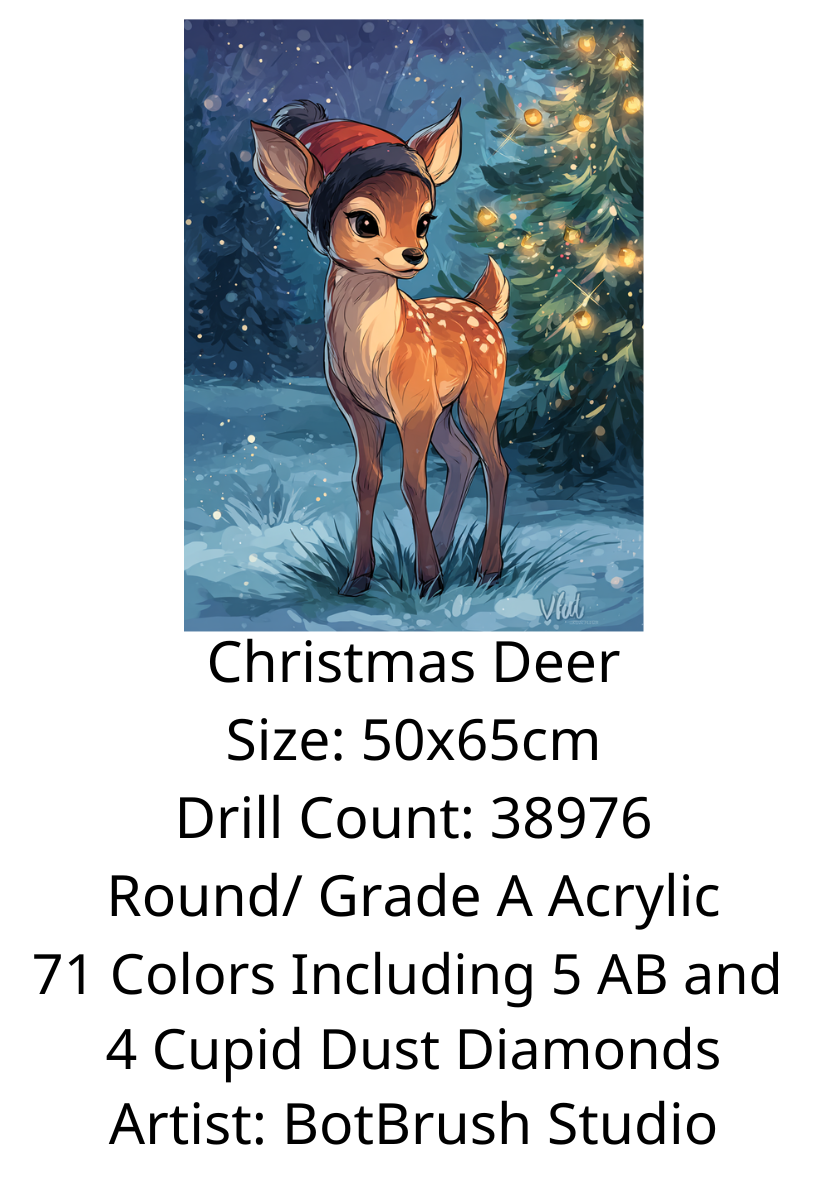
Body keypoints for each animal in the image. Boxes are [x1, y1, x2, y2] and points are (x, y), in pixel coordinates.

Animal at [251, 98, 509, 598]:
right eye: (364, 221)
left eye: (425, 219)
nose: (415, 254)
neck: (372, 353)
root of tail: (482, 307)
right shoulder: (359, 409)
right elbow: (366, 481)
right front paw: (358, 578)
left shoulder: (413, 407)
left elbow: (413, 482)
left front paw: (428, 580)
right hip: (443, 408)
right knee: (463, 458)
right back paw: (445, 548)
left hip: (480, 395)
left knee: (496, 466)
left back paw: (487, 570)